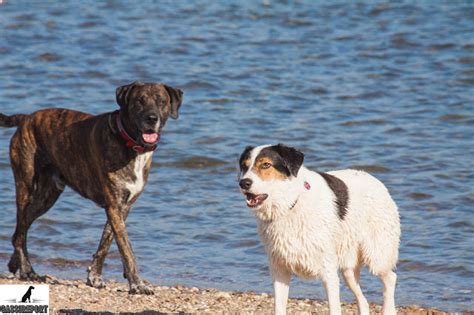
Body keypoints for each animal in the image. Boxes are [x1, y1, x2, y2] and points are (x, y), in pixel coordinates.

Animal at [0, 82, 183, 296]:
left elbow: (106, 242)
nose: (152, 118)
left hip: (47, 196)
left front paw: (94, 277)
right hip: (25, 186)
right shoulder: (113, 206)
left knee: (20, 231)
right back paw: (27, 270)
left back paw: (15, 264)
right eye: (140, 101)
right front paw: (137, 284)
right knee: (21, 230)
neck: (129, 142)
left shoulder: (122, 208)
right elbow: (126, 249)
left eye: (162, 102)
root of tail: (26, 118)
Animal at [237, 144, 400, 314]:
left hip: (377, 254)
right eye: (244, 166)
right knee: (363, 299)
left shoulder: (328, 272)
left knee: (390, 278)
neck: (290, 205)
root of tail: (377, 181)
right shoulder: (279, 270)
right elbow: (279, 308)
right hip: (348, 268)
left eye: (266, 164)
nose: (243, 183)